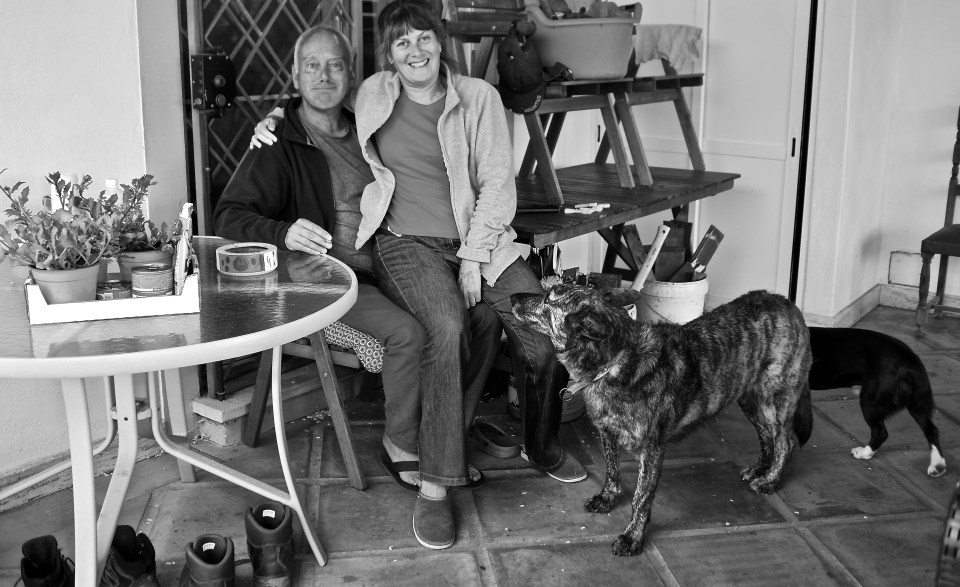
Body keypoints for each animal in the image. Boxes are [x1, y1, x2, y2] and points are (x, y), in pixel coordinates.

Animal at [511, 285, 813, 556]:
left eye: (549, 300)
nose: (513, 296)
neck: (616, 360)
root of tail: (787, 304)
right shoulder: (607, 434)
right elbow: (611, 470)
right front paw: (607, 498)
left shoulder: (652, 450)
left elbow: (641, 498)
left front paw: (632, 537)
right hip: (750, 400)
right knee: (766, 437)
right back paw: (760, 469)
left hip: (774, 399)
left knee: (785, 442)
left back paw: (770, 480)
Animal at [808, 326, 946, 477]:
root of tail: (911, 361)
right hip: (917, 405)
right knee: (931, 430)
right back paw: (937, 465)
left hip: (869, 402)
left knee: (880, 433)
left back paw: (864, 453)